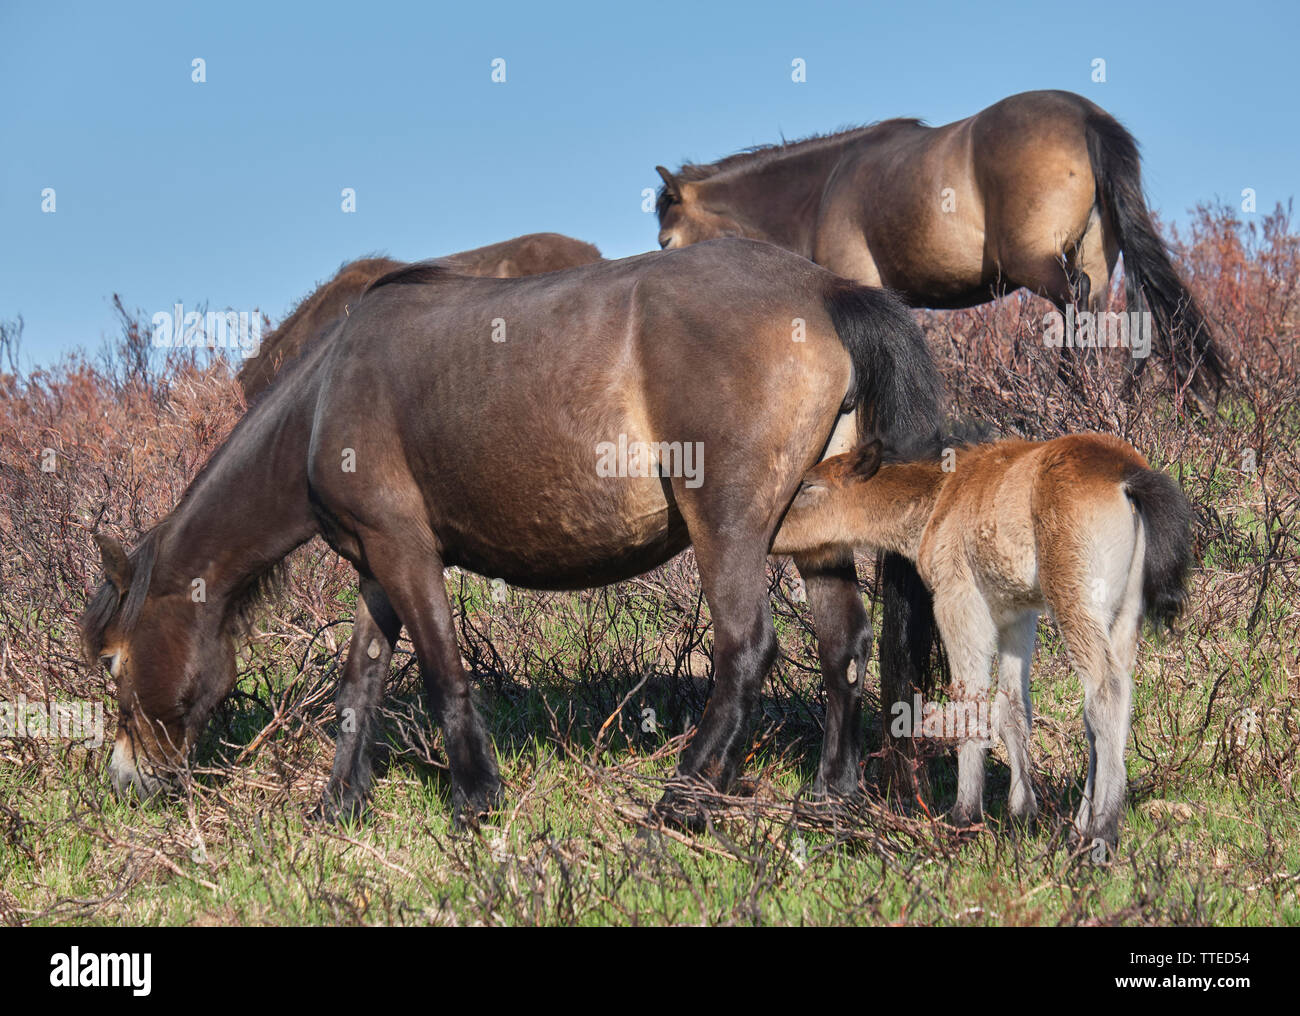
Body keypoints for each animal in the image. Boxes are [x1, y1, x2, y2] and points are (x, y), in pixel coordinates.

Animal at [774, 433, 1190, 857]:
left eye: (808, 485)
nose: (771, 533)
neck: (940, 500)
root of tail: (1127, 474)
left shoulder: (958, 600)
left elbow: (969, 701)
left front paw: (964, 816)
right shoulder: (1016, 616)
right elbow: (1012, 709)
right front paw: (1022, 813)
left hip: (1074, 601)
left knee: (1106, 691)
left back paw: (1102, 834)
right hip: (1123, 616)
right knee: (1102, 711)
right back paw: (1078, 830)